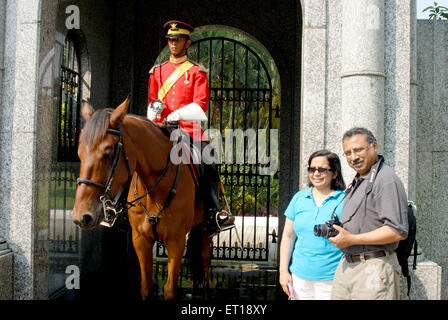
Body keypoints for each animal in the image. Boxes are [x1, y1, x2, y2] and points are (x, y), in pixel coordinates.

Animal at [71, 97, 210, 300]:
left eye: (108, 152)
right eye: (79, 152)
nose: (81, 216)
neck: (155, 190)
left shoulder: (176, 241)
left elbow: (170, 290)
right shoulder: (141, 239)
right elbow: (146, 287)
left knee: (205, 258)